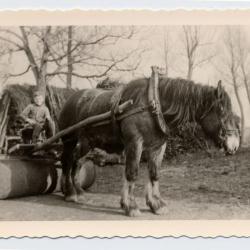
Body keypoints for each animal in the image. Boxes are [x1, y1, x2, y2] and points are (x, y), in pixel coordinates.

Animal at [58, 71, 240, 217]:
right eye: (222, 110)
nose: (234, 144)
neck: (152, 106)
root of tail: (71, 98)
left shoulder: (157, 147)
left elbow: (154, 174)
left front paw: (156, 204)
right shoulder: (135, 143)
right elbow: (132, 173)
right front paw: (130, 205)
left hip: (87, 143)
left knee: (77, 161)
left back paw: (77, 190)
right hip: (69, 140)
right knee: (67, 161)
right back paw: (70, 192)